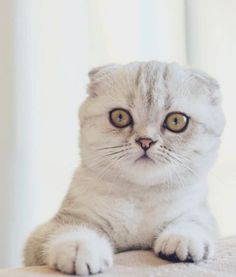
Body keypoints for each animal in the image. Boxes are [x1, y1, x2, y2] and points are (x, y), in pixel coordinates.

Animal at [23, 61, 225, 274]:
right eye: (120, 117)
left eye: (176, 121)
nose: (145, 141)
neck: (139, 195)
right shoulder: (55, 226)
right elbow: (71, 229)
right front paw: (80, 248)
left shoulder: (202, 214)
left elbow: (194, 221)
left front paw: (183, 238)